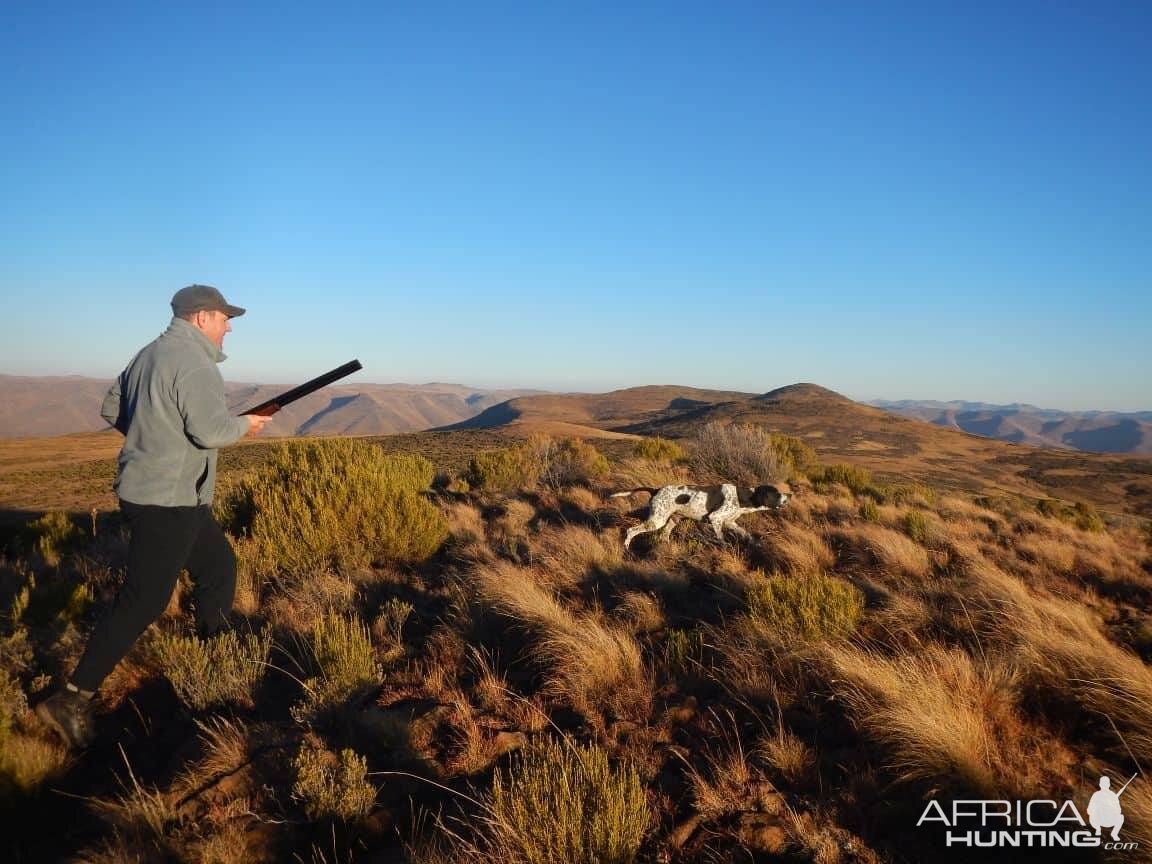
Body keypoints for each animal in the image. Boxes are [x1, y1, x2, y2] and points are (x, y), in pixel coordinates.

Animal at [612, 483, 792, 550]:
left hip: (672, 520)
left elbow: (746, 533)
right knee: (631, 531)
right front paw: (725, 549)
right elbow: (722, 539)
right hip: (657, 520)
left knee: (664, 536)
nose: (789, 495)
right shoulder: (715, 519)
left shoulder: (730, 523)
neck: (742, 498)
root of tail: (656, 490)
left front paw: (757, 543)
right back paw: (626, 548)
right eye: (776, 493)